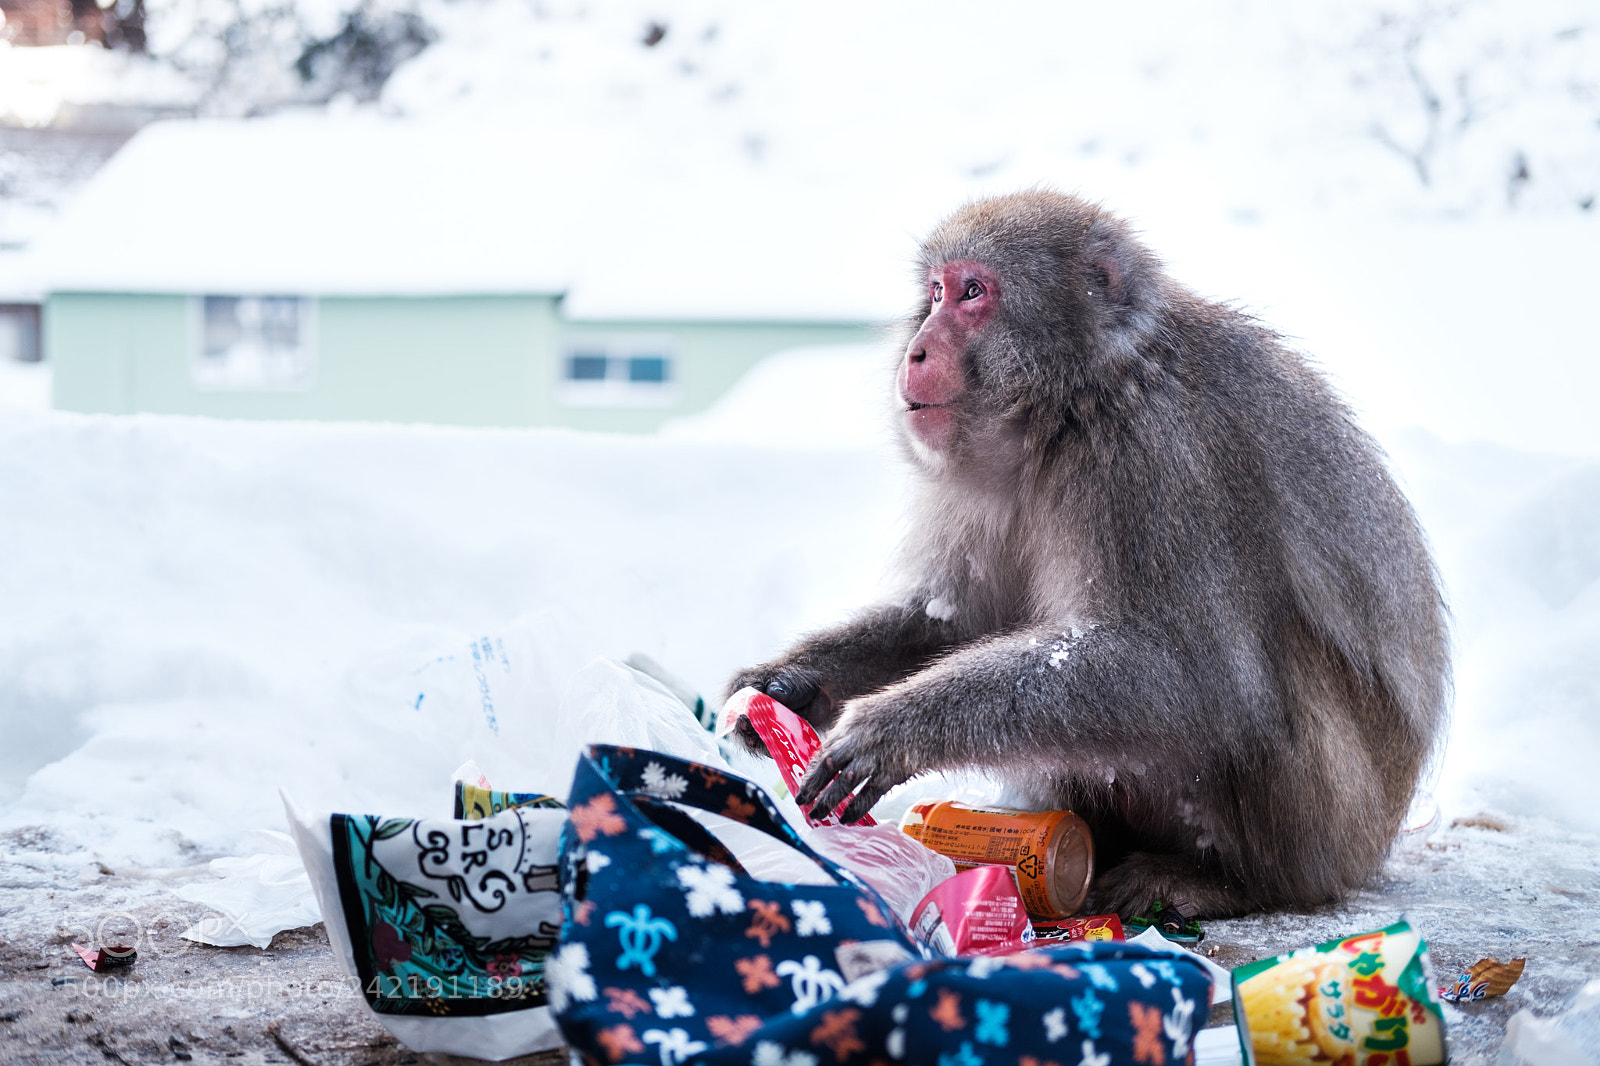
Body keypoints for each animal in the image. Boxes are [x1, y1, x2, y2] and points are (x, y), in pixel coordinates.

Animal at [726, 189, 1449, 919]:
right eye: (934, 293)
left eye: (972, 292)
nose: (919, 350)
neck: (1074, 404)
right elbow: (957, 621)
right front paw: (785, 686)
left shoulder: (1149, 455)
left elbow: (1195, 678)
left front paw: (890, 732)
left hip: (1337, 830)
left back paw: (1230, 883)